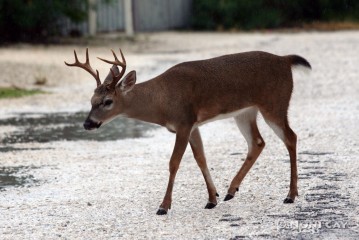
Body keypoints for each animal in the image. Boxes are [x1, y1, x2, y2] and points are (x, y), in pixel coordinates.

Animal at [65, 48, 312, 216]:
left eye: (107, 101)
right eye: (91, 100)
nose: (88, 123)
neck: (162, 101)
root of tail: (285, 60)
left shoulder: (184, 122)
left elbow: (174, 162)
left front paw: (163, 206)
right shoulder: (193, 126)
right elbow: (201, 158)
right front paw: (212, 199)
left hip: (275, 103)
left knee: (291, 137)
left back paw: (290, 195)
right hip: (245, 112)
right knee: (258, 142)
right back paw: (231, 190)